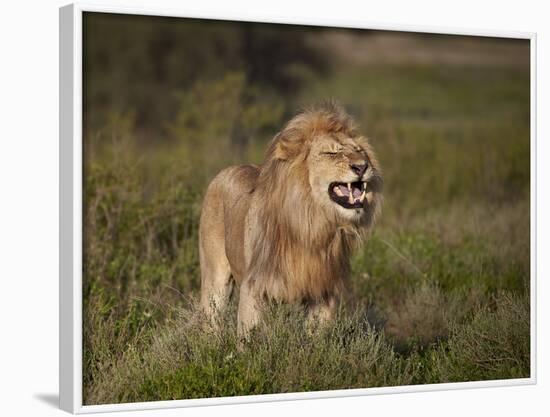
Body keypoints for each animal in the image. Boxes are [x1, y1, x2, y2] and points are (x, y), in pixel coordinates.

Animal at [198, 103, 384, 334]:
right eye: (331, 153)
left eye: (359, 151)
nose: (362, 166)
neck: (311, 223)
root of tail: (225, 170)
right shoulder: (254, 287)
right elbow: (250, 336)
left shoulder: (324, 293)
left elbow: (318, 337)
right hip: (215, 278)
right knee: (210, 317)